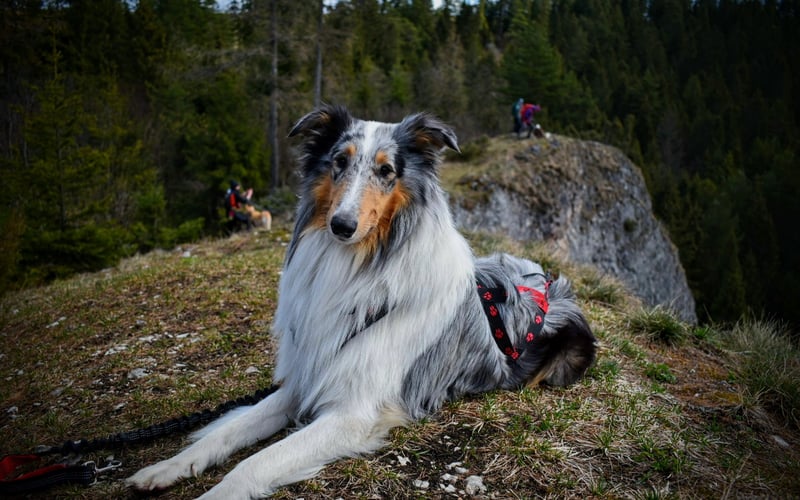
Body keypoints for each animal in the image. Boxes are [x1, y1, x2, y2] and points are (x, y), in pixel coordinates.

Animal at [128, 104, 596, 496]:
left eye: (386, 170)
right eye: (339, 162)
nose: (341, 225)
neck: (357, 264)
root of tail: (548, 281)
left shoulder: (354, 412)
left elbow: (257, 462)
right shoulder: (305, 379)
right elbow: (229, 430)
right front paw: (166, 468)